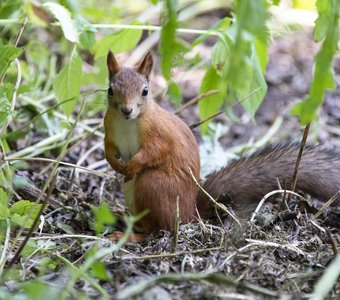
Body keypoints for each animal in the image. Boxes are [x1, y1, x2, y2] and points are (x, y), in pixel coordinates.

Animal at [104, 51, 340, 234]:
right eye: (110, 89)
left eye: (145, 91)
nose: (126, 110)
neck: (129, 122)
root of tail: (191, 213)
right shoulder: (110, 129)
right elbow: (109, 148)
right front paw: (115, 164)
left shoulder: (160, 133)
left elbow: (156, 151)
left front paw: (132, 165)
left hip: (153, 184)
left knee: (156, 228)